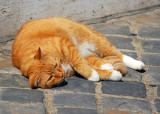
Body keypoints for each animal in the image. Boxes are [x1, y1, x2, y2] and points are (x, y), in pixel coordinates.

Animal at [12, 17, 145, 88]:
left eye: (55, 65)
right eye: (50, 77)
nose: (61, 74)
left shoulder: (68, 47)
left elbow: (80, 63)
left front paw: (94, 74)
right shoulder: (74, 67)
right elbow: (96, 71)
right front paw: (111, 74)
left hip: (96, 41)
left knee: (119, 55)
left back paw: (137, 64)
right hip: (88, 52)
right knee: (97, 60)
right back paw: (108, 65)